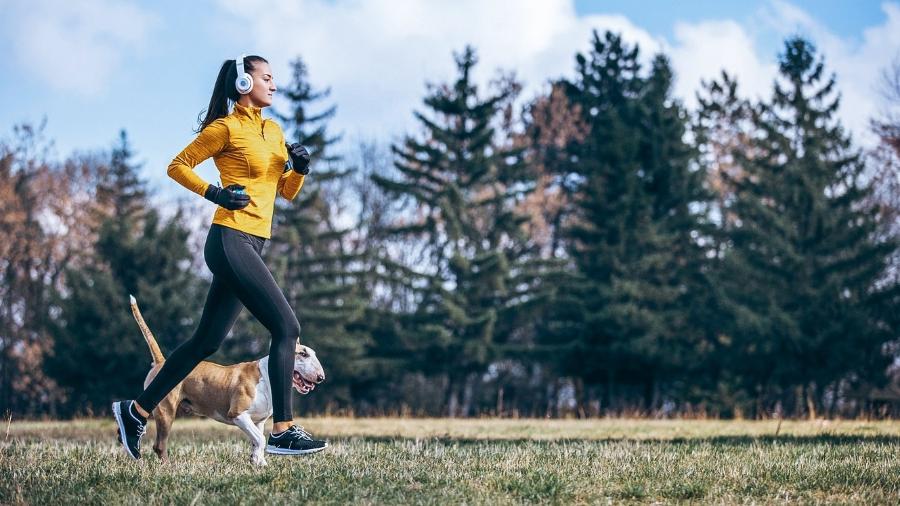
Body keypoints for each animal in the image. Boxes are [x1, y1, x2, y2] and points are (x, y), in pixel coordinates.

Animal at [126, 296, 324, 466]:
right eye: (303, 354)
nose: (321, 377)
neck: (267, 377)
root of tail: (161, 362)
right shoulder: (238, 414)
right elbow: (260, 439)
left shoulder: (258, 422)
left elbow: (256, 441)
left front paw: (258, 463)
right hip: (166, 411)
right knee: (159, 445)